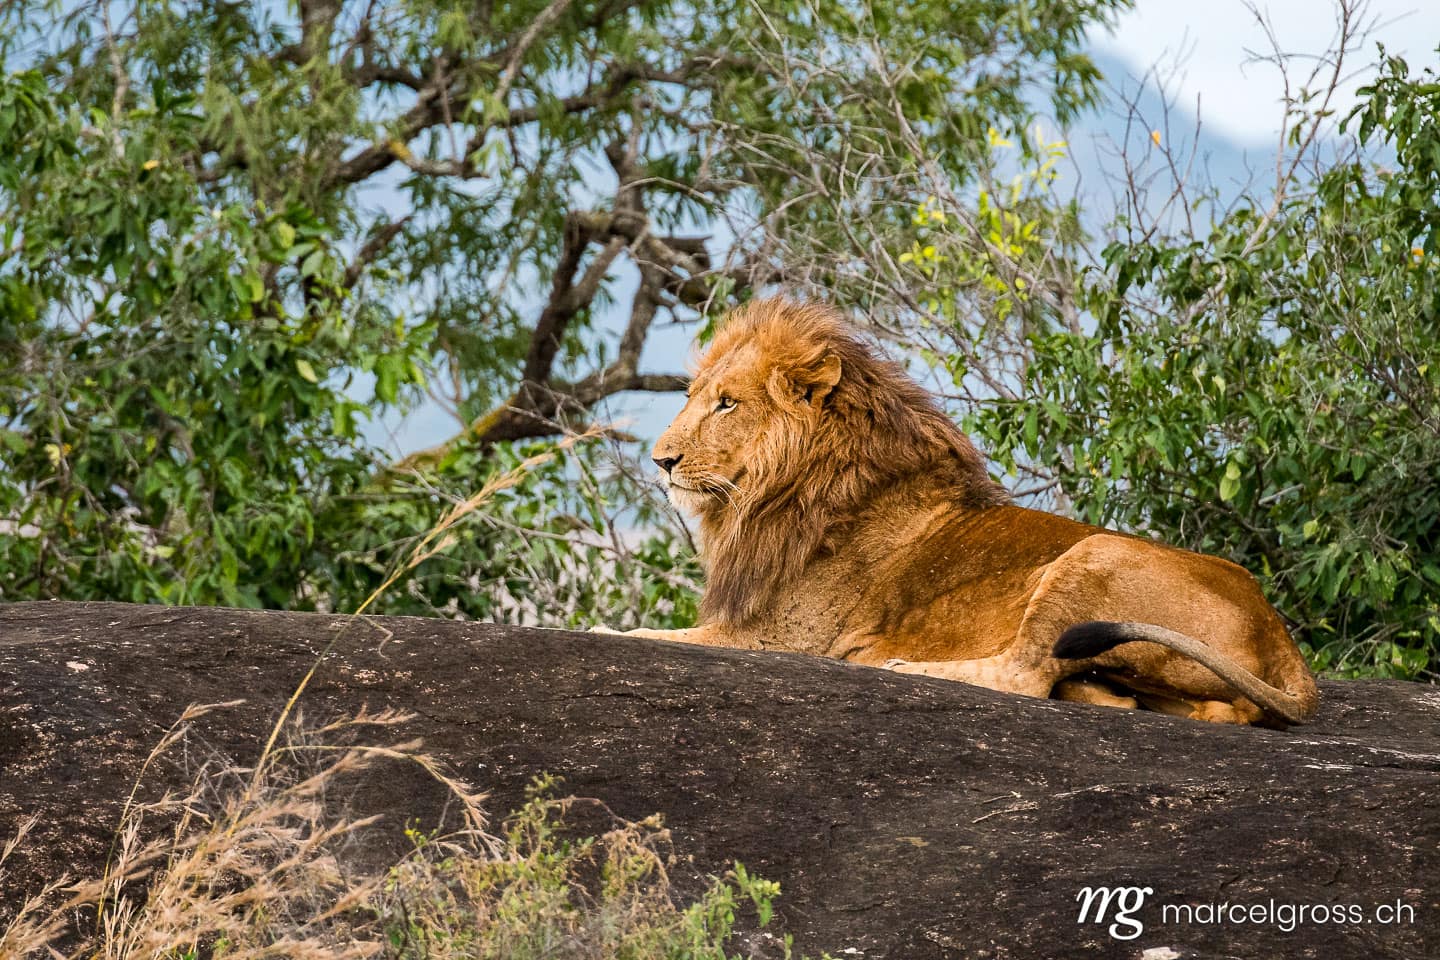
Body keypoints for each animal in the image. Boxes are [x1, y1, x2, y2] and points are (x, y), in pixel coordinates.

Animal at [605, 298, 1319, 726]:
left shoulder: (778, 640)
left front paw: (612, 631)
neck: (777, 496)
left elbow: (640, 635)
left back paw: (890, 663)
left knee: (1023, 673)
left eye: (728, 403)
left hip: (1091, 557)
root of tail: (1280, 637)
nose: (660, 461)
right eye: (693, 395)